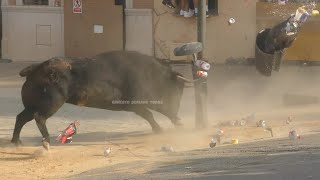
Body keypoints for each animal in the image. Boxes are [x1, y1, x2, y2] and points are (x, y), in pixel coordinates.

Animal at [11, 50, 192, 149]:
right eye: (176, 90)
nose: (178, 115)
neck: (151, 74)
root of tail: (37, 67)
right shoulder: (135, 103)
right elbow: (150, 114)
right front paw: (163, 128)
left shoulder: (133, 106)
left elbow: (148, 114)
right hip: (52, 103)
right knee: (39, 117)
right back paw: (46, 141)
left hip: (32, 105)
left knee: (21, 117)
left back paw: (16, 141)